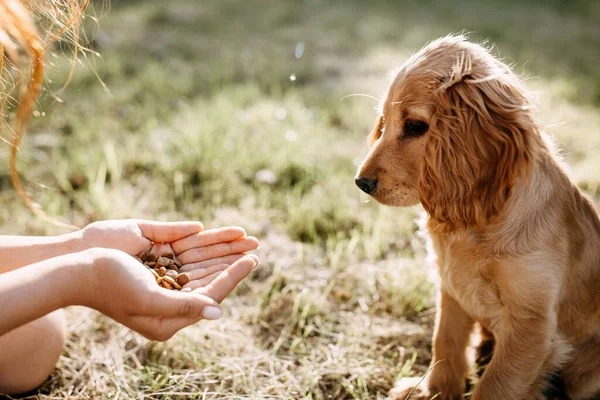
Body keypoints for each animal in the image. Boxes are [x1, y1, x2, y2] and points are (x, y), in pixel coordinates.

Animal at [354, 34, 600, 400]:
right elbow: (445, 342)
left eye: (414, 126)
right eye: (384, 123)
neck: (476, 223)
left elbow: (495, 385)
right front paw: (433, 391)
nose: (361, 183)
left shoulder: (531, 326)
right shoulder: (450, 289)